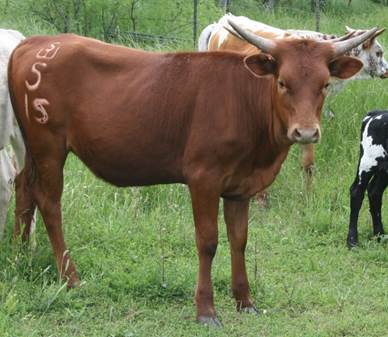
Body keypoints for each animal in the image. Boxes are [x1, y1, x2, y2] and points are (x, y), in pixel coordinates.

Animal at [9, 21, 378, 326]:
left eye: (324, 84)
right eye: (283, 82)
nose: (306, 132)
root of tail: (36, 43)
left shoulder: (240, 186)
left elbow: (239, 239)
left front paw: (245, 301)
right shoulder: (204, 178)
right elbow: (208, 241)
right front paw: (206, 310)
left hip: (31, 147)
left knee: (23, 188)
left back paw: (20, 252)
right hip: (49, 145)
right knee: (49, 202)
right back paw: (70, 277)